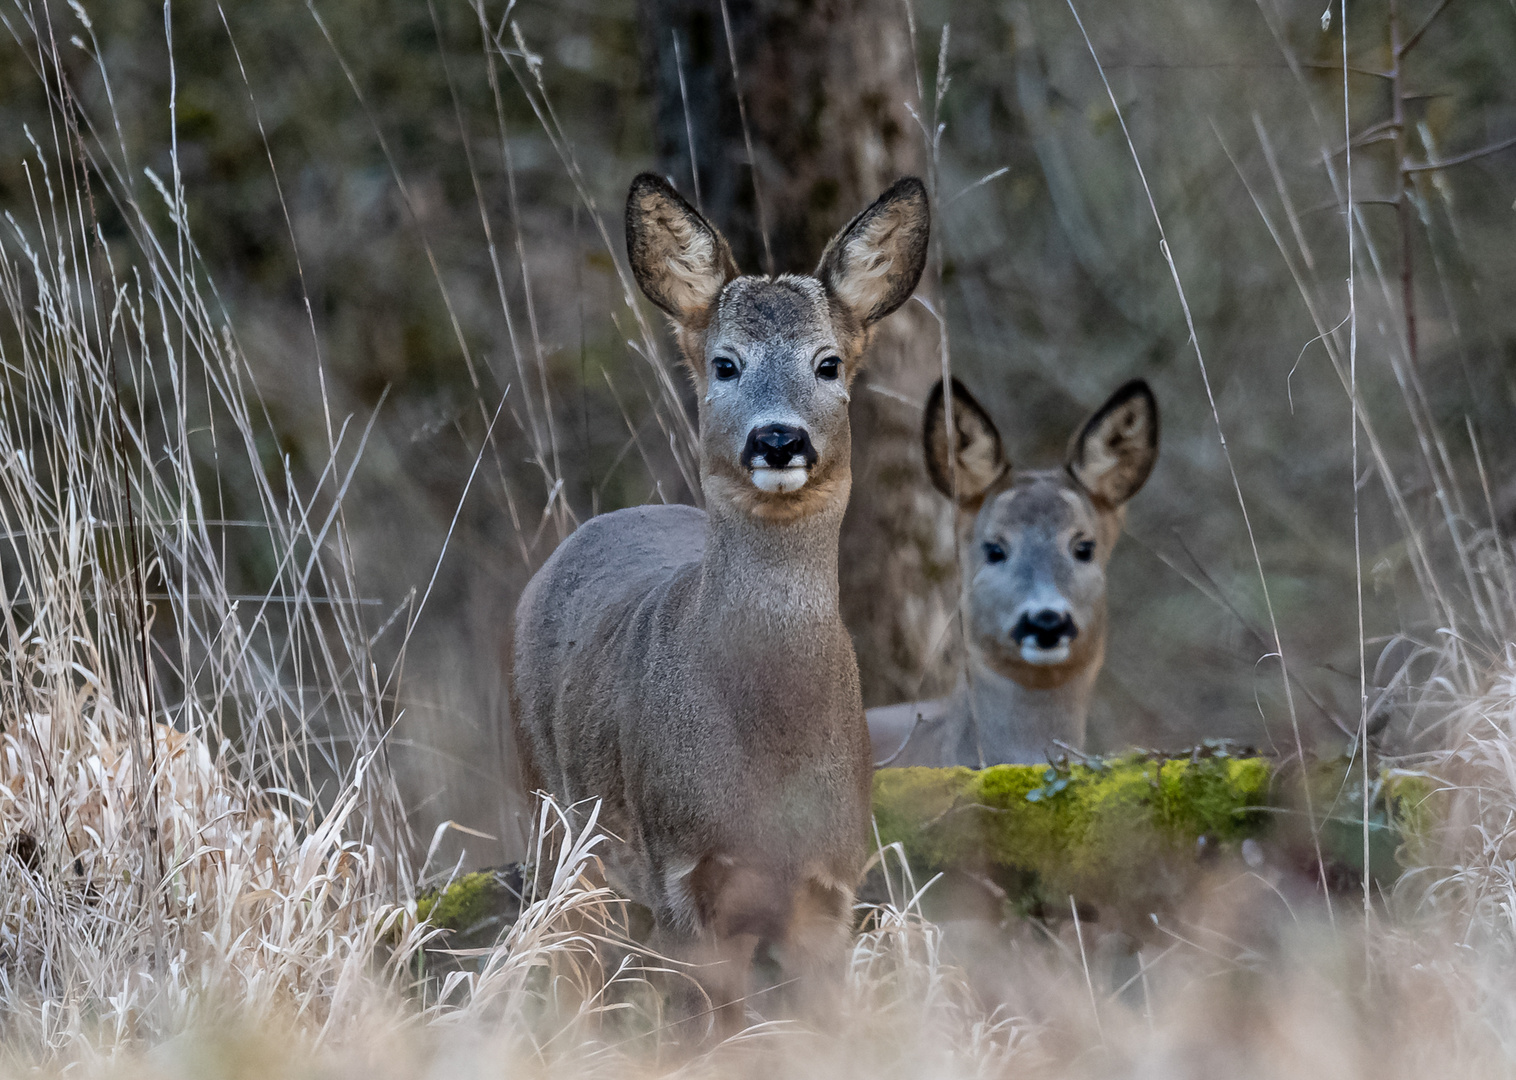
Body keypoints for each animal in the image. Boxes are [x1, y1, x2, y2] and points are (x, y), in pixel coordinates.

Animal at [515, 168, 927, 1031]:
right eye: (725, 364)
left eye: (828, 363)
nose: (778, 439)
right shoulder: (682, 868)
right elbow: (712, 1026)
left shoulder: (832, 882)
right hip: (553, 815)